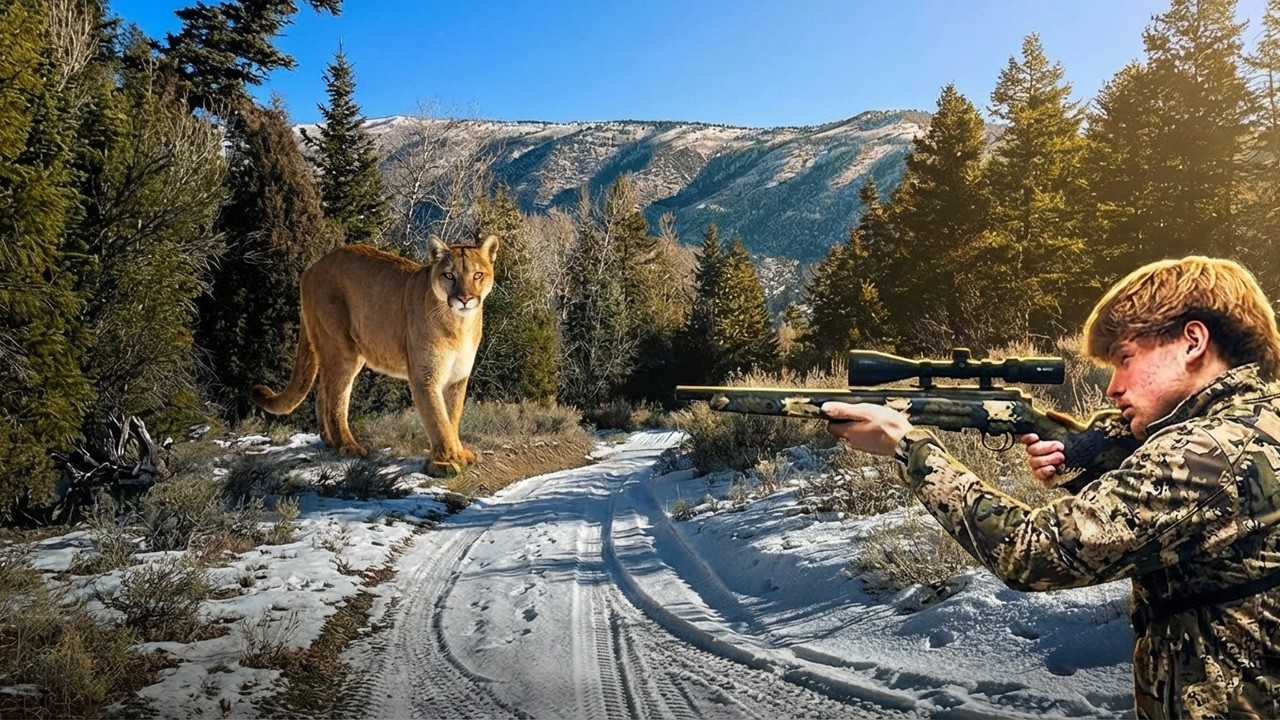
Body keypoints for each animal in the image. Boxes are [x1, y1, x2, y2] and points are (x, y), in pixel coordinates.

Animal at [250, 235, 499, 476]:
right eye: (449, 275)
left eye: (478, 275)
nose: (464, 299)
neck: (458, 325)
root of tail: (311, 268)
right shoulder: (425, 376)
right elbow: (438, 419)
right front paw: (445, 462)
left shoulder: (458, 377)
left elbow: (452, 417)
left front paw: (457, 453)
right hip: (343, 350)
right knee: (335, 399)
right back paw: (348, 446)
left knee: (323, 390)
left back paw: (330, 441)